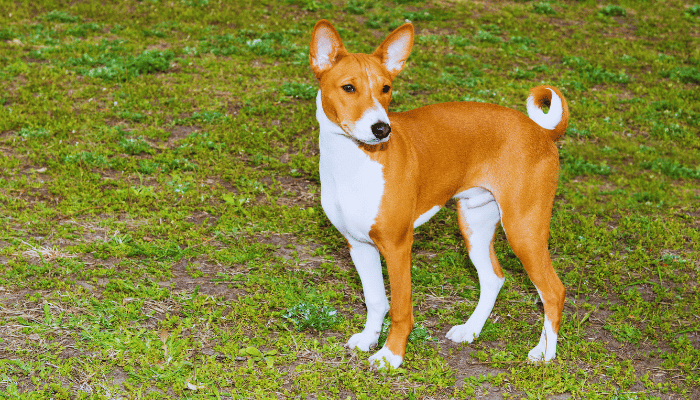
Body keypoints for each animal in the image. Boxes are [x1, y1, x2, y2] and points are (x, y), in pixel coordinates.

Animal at [310, 19, 568, 368]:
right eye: (349, 88)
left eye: (386, 88)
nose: (382, 129)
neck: (352, 162)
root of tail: (542, 132)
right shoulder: (359, 244)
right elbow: (375, 299)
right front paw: (368, 339)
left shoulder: (397, 246)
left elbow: (401, 307)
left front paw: (391, 355)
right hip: (474, 224)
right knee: (494, 278)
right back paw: (472, 331)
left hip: (524, 231)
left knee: (553, 291)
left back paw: (545, 354)